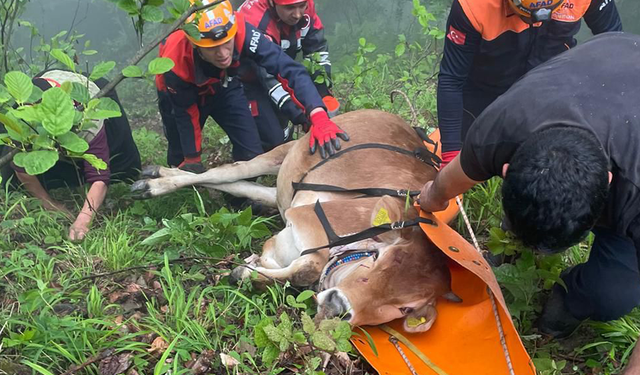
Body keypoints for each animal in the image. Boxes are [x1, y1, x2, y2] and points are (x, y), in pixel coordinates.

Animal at [131, 110, 460, 334]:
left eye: (405, 307)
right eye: (378, 261)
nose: (339, 307)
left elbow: (293, 267)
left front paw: (250, 269)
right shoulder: (309, 215)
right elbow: (308, 266)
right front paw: (248, 270)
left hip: (285, 184)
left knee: (243, 186)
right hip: (283, 153)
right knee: (224, 171)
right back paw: (153, 181)